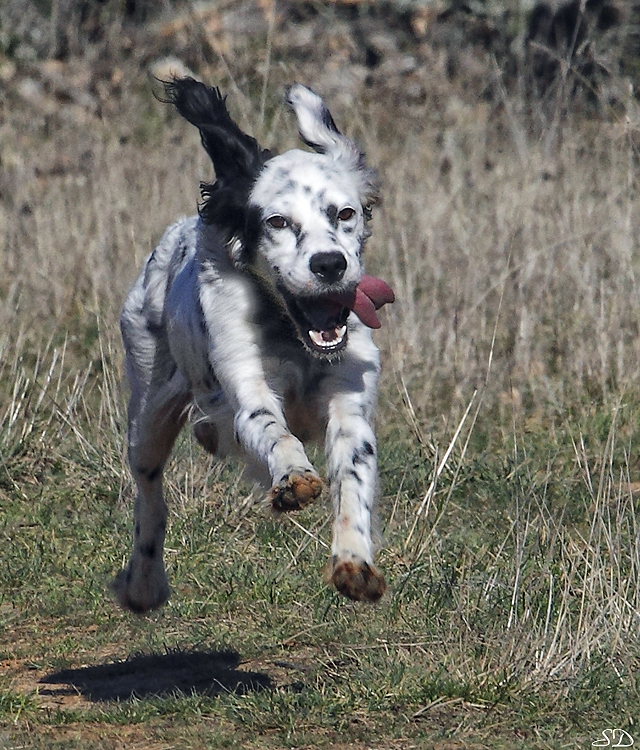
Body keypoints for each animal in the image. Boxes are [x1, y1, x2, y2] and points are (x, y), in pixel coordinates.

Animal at [114, 79, 396, 612]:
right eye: (278, 222)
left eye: (345, 213)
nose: (330, 264)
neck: (291, 333)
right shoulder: (248, 390)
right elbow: (274, 431)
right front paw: (294, 480)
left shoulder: (349, 403)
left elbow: (352, 478)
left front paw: (354, 563)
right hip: (148, 415)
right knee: (149, 494)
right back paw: (143, 584)